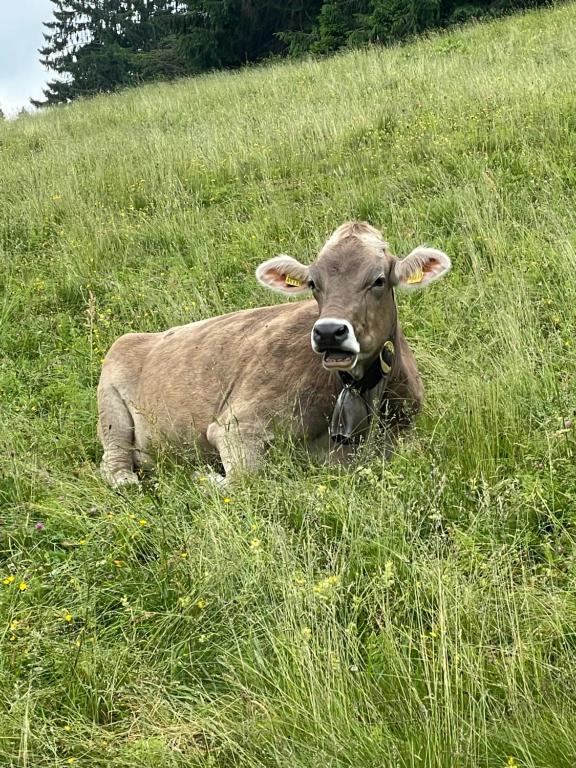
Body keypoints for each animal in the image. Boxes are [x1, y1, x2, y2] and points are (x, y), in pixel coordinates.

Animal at [98, 222, 450, 486]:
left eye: (378, 280)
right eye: (314, 284)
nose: (328, 332)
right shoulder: (236, 425)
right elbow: (245, 481)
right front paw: (204, 477)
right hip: (110, 406)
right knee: (114, 461)